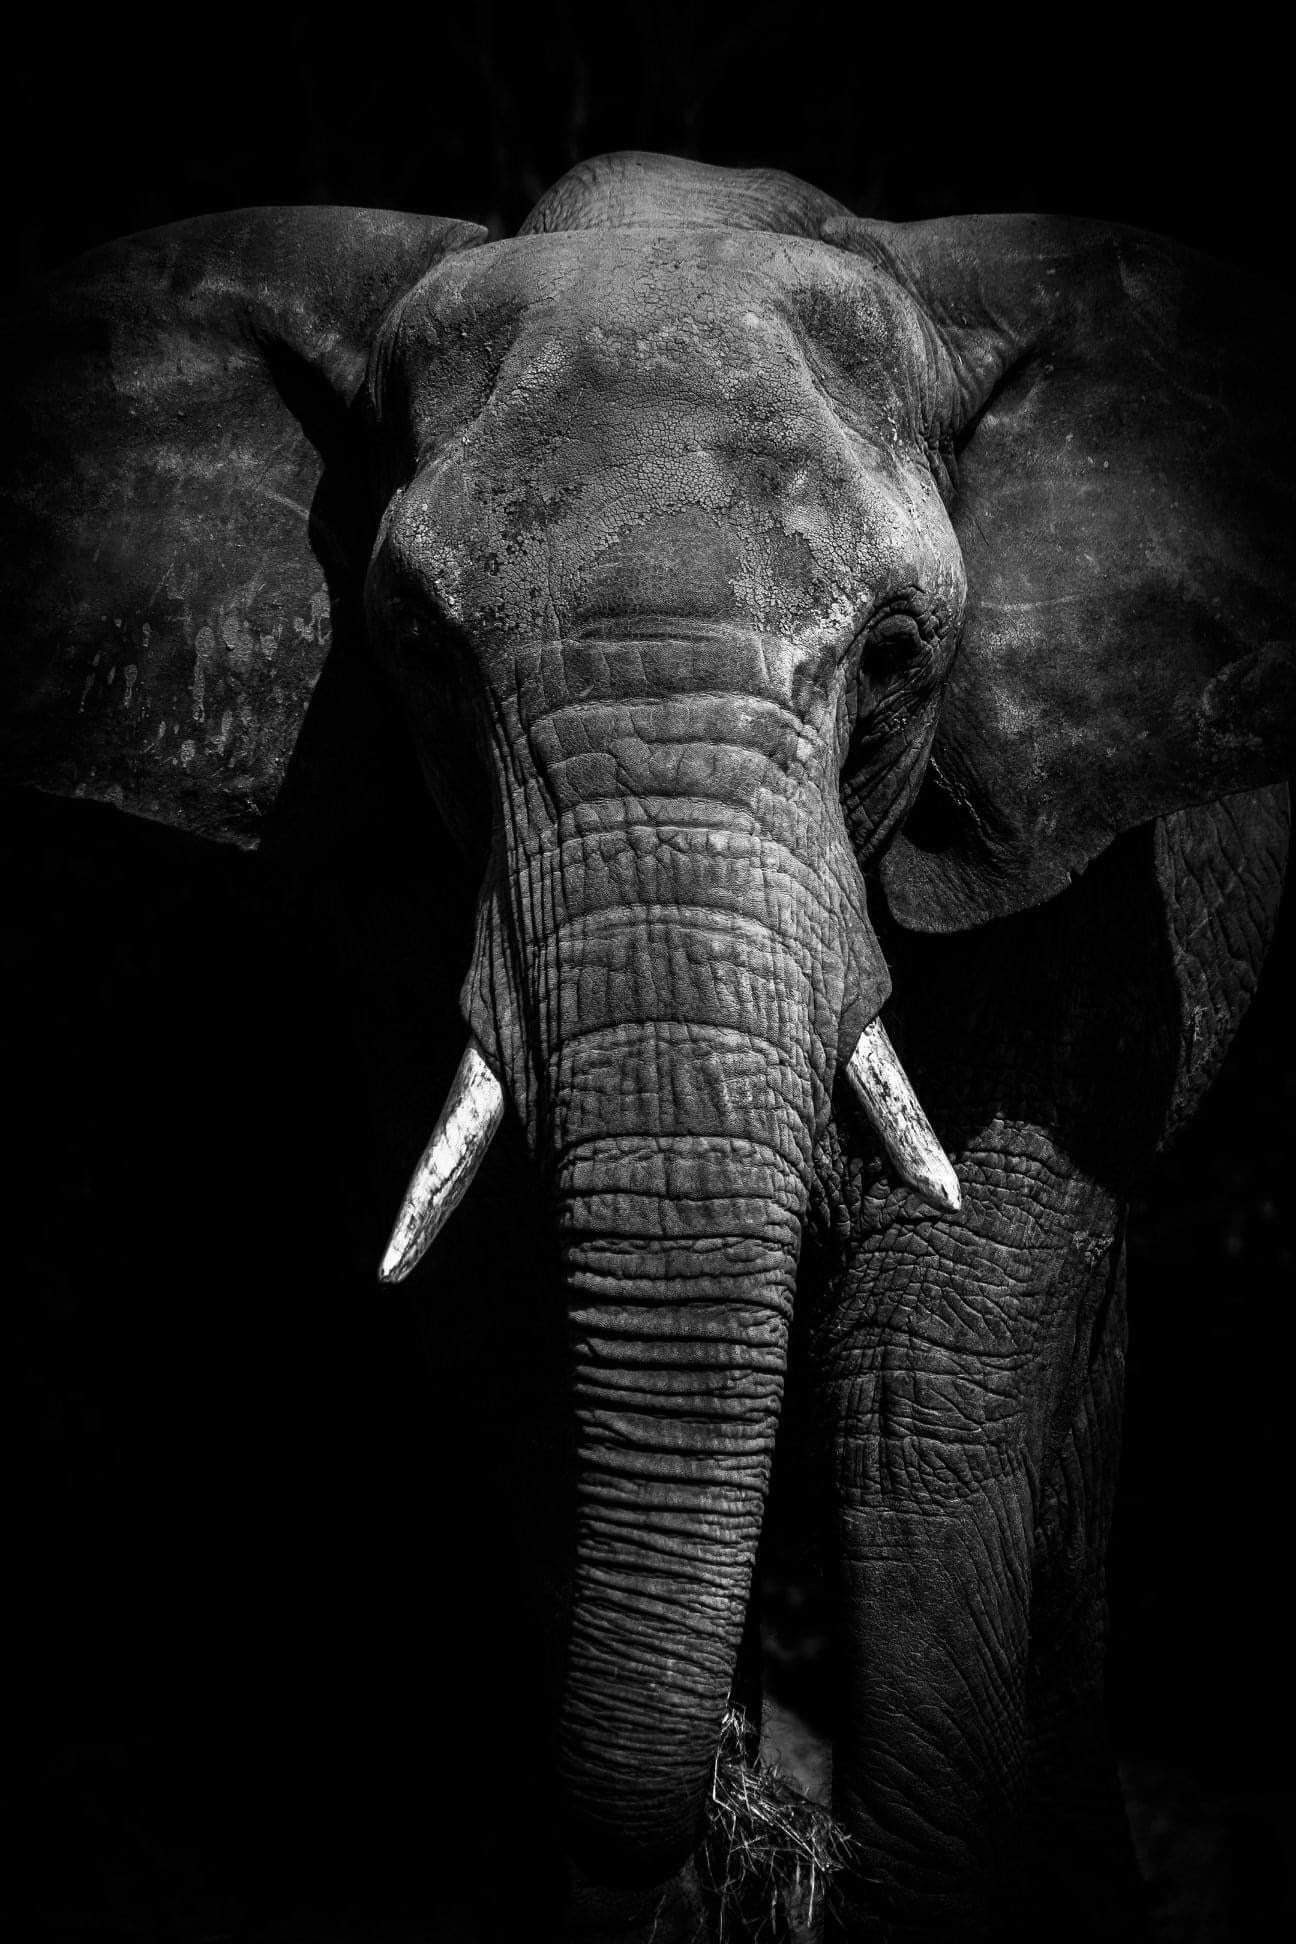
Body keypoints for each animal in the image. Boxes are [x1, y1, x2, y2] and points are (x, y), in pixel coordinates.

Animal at [4, 150, 1292, 1943]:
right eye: (418, 647)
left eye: (899, 654)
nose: (732, 1824)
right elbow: (505, 1320)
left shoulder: (1071, 864)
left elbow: (930, 1346)